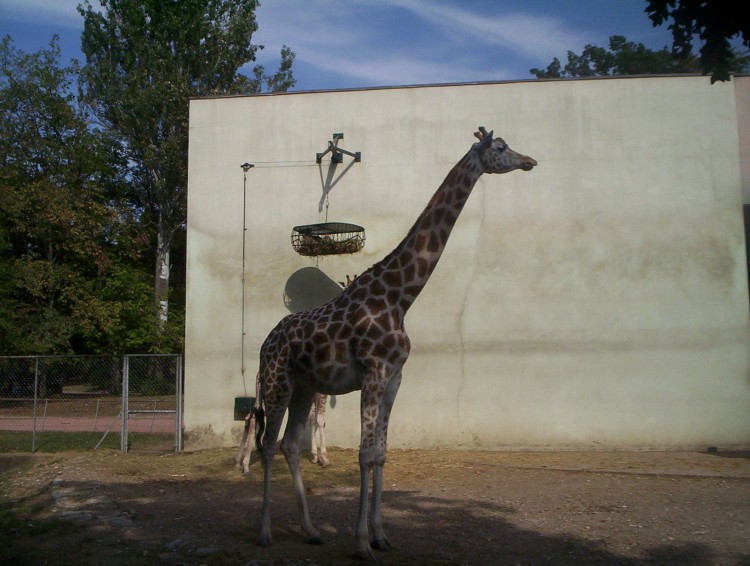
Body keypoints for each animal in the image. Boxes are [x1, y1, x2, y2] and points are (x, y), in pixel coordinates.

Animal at [256, 127, 536, 560]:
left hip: (305, 386)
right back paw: (265, 531)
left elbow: (382, 454)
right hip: (277, 383)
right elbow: (364, 454)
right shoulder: (372, 374)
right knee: (268, 445)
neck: (400, 296)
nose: (529, 161)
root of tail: (264, 342)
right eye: (501, 147)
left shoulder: (394, 379)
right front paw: (360, 543)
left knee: (288, 444)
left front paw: (381, 535)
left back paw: (311, 530)